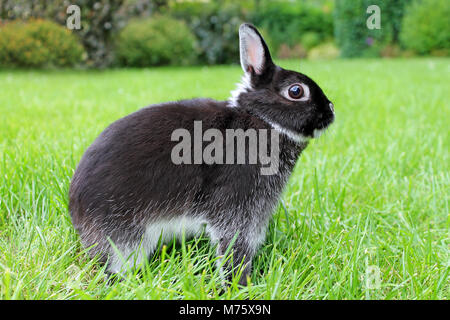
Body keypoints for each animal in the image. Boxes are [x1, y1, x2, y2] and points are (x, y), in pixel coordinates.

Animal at [68, 23, 332, 286]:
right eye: (296, 91)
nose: (331, 111)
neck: (263, 119)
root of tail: (77, 212)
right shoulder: (238, 207)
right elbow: (234, 246)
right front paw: (239, 284)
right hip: (126, 234)